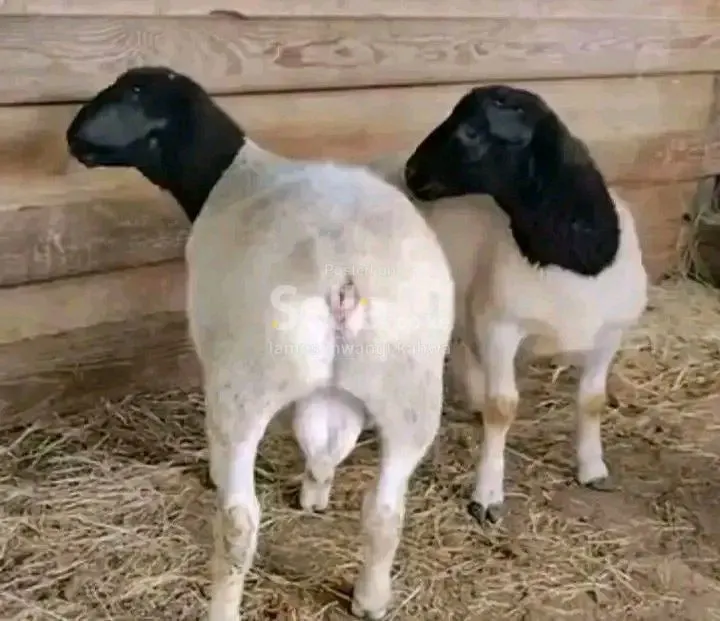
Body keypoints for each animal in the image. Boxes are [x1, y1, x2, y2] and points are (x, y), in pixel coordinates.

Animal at [65, 66, 454, 621]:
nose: (74, 140)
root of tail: (344, 275)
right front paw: (316, 492)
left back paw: (223, 606)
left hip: (247, 381)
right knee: (385, 510)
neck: (225, 175)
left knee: (239, 521)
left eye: (132, 95)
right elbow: (326, 441)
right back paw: (370, 598)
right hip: (408, 386)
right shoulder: (333, 391)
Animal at [369, 84, 648, 525]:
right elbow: (503, 408)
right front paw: (487, 495)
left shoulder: (610, 334)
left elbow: (592, 401)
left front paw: (592, 468)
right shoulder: (501, 327)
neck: (573, 255)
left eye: (470, 132)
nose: (414, 173)